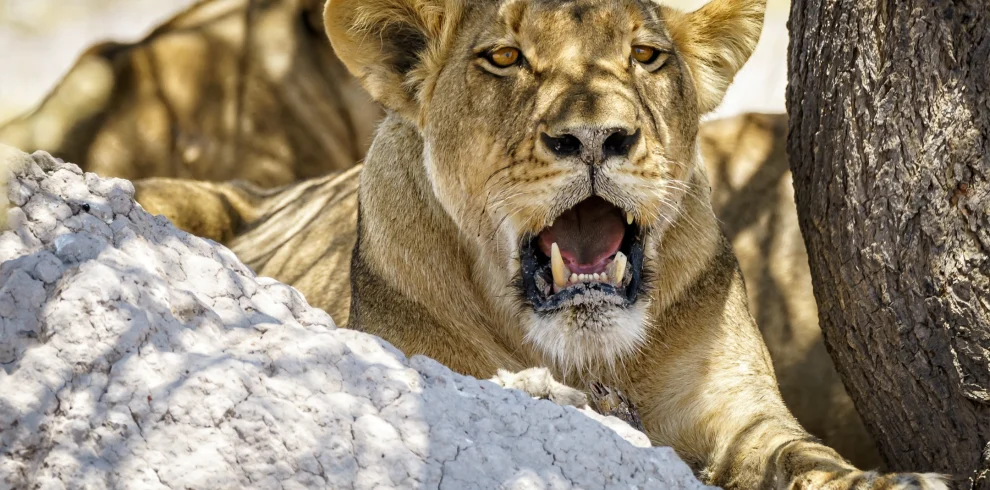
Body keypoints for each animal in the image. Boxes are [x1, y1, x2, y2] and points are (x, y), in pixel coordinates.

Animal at [129, 0, 951, 486]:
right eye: (503, 58)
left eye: (646, 56)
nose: (595, 137)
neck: (588, 356)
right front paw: (549, 393)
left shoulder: (735, 410)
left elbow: (798, 453)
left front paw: (887, 480)